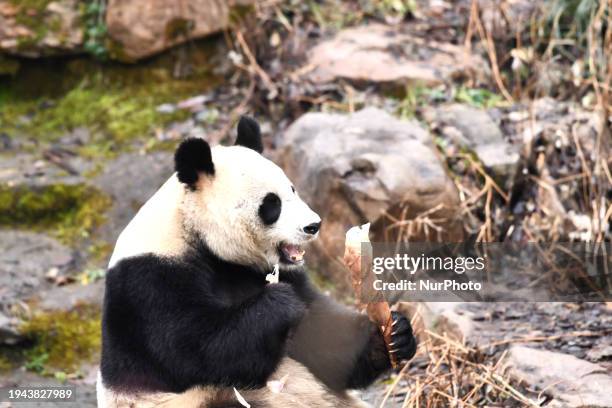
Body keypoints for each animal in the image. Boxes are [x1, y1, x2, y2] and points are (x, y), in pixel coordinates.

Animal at [98, 116, 418, 406]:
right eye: (271, 204)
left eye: (293, 190)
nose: (313, 225)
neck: (195, 232)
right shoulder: (149, 284)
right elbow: (195, 351)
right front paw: (280, 303)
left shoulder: (270, 272)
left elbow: (323, 337)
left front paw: (394, 334)